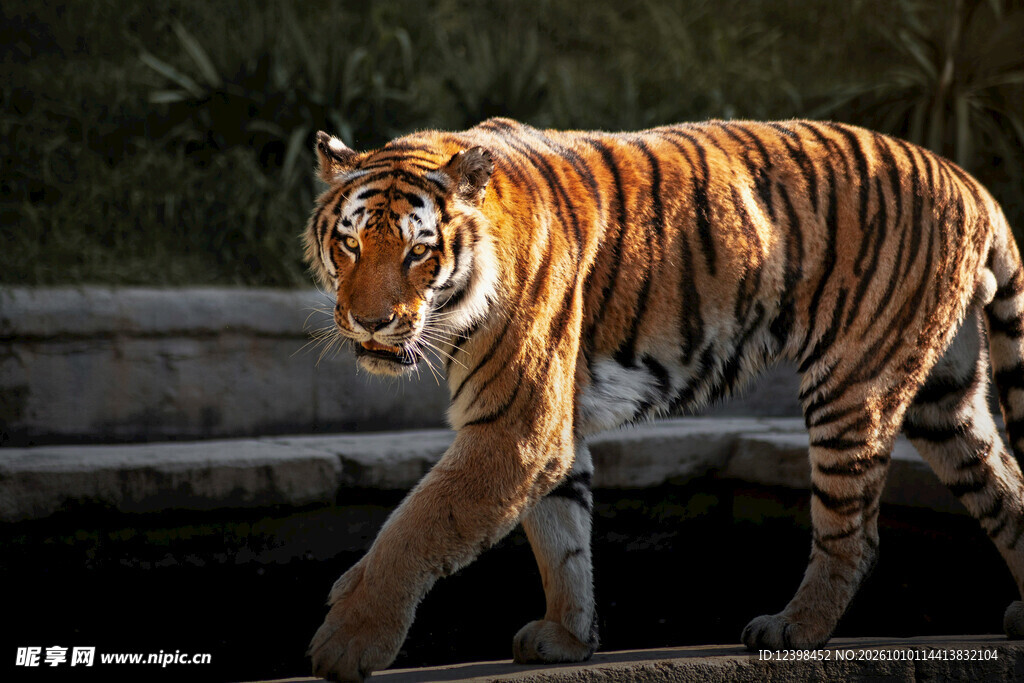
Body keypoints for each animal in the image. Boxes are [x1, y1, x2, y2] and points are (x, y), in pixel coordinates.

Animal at [303, 117, 1024, 681]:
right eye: (351, 243)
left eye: (418, 251)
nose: (368, 323)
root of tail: (971, 182)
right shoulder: (548, 433)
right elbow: (562, 539)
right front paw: (567, 638)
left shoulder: (517, 427)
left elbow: (416, 527)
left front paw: (348, 641)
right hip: (945, 400)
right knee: (1003, 485)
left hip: (854, 384)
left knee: (854, 530)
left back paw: (793, 628)